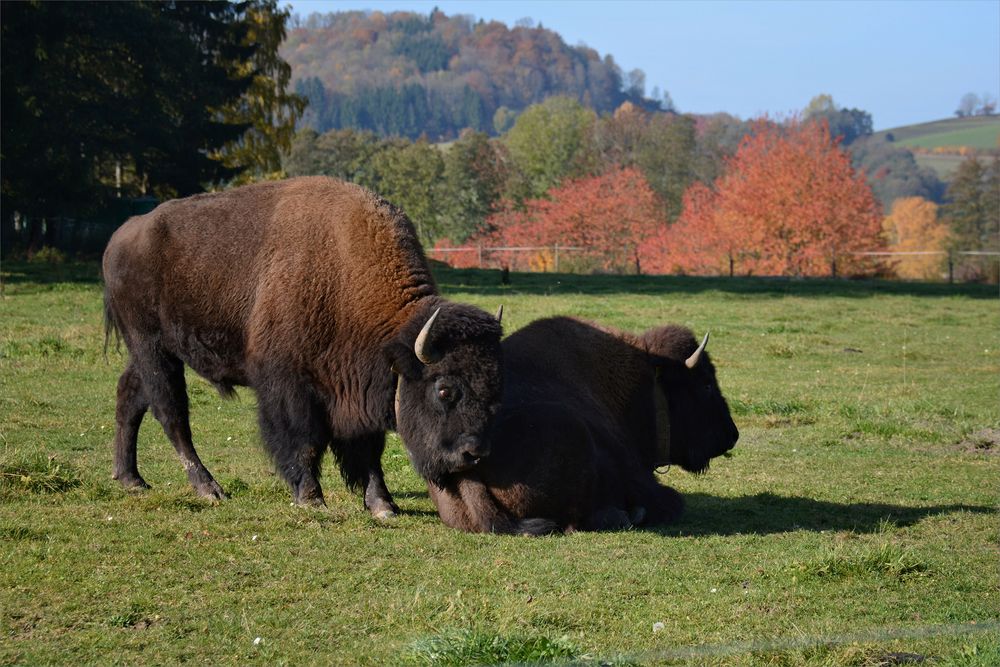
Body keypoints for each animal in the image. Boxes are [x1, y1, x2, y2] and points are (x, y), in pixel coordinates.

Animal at [105, 176, 504, 516]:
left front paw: (383, 505)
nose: (474, 453)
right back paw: (208, 488)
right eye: (444, 389)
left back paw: (131, 479)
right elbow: (305, 442)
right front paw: (311, 498)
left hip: (149, 353)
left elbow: (367, 449)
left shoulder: (356, 390)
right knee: (171, 413)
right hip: (153, 347)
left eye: (493, 388)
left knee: (130, 396)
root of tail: (121, 236)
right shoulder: (290, 388)